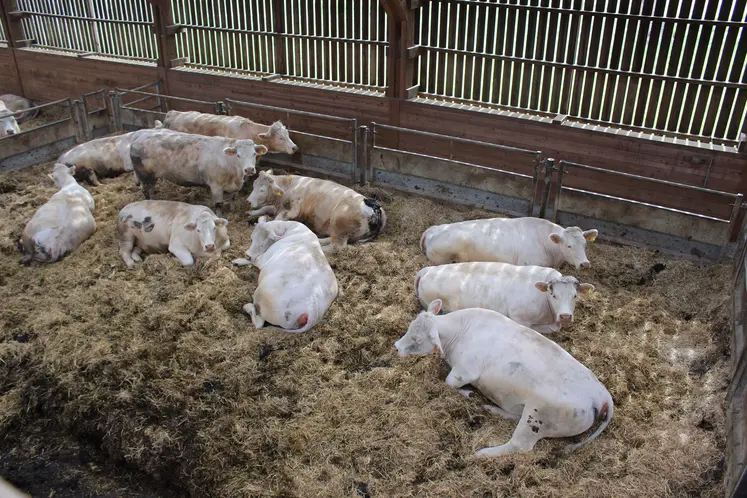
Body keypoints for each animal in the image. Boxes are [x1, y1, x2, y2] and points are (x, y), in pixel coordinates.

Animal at [129, 128, 267, 213]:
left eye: (254, 154)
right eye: (238, 155)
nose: (249, 169)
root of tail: (139, 136)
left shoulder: (232, 186)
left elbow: (232, 198)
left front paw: (232, 210)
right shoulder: (216, 186)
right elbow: (218, 204)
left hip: (152, 176)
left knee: (151, 189)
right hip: (144, 175)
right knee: (145, 190)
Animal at [246, 170, 386, 253]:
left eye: (262, 190)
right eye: (253, 185)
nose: (248, 201)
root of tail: (375, 207)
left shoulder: (291, 210)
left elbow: (276, 220)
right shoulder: (278, 207)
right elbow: (266, 208)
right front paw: (251, 214)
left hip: (339, 225)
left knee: (336, 246)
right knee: (330, 239)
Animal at [394, 300, 614, 458]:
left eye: (417, 339)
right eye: (410, 326)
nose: (396, 347)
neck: (457, 335)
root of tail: (602, 395)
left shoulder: (466, 370)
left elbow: (449, 382)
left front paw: (468, 393)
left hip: (538, 417)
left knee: (519, 445)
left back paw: (481, 453)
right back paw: (491, 409)